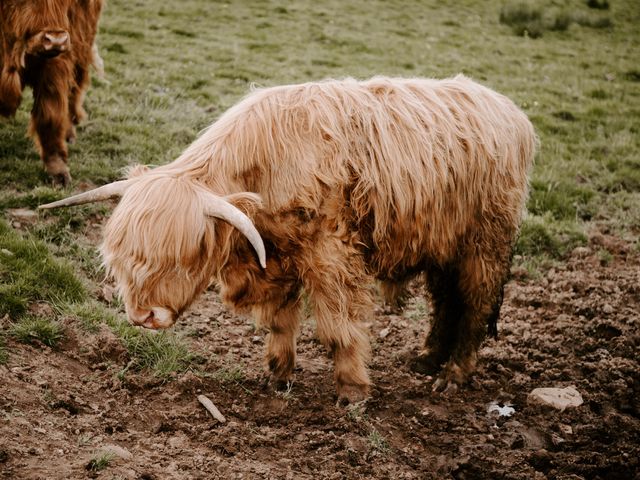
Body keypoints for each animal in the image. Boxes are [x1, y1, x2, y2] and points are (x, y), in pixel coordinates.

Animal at [0, 0, 104, 186]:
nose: (56, 41)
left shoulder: (55, 66)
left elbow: (50, 114)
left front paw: (58, 170)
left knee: (73, 95)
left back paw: (69, 134)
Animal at [42, 77, 536, 404]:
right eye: (124, 261)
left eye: (184, 259)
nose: (142, 316)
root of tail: (508, 109)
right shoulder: (276, 257)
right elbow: (280, 321)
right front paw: (278, 377)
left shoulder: (332, 257)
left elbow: (338, 328)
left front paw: (352, 392)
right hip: (442, 242)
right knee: (445, 301)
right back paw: (427, 357)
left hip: (485, 242)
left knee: (474, 304)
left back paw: (453, 374)